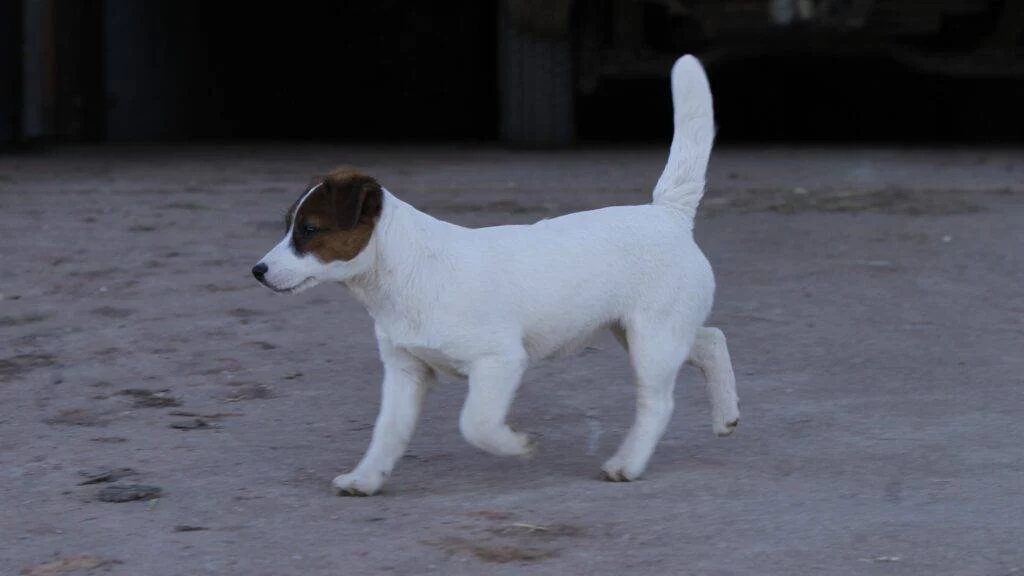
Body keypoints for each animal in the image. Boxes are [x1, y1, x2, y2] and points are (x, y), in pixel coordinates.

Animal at [252, 54, 741, 494]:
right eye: (287, 224)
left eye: (309, 230)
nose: (258, 271)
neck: (406, 273)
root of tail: (668, 214)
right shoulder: (405, 370)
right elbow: (387, 432)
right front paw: (366, 479)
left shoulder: (499, 361)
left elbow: (476, 423)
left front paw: (515, 445)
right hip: (642, 331)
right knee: (712, 340)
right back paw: (726, 414)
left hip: (652, 339)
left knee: (658, 402)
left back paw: (628, 463)